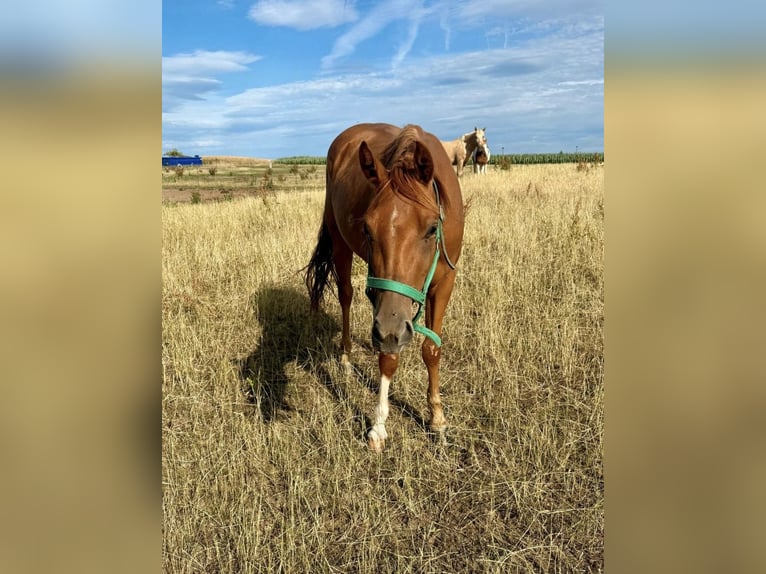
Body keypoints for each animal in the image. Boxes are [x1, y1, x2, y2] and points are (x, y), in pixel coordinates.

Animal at [305, 123, 465, 452]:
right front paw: (378, 425)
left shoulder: (445, 283)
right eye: (367, 229)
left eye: (432, 228)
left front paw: (437, 420)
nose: (392, 332)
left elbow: (432, 350)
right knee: (346, 296)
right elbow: (388, 358)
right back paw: (345, 357)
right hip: (340, 244)